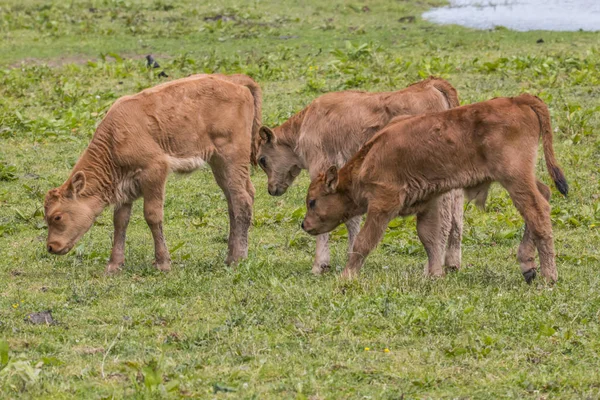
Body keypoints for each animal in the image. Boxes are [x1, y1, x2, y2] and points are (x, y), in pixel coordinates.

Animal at [45, 74, 262, 274]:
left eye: (57, 217)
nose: (51, 247)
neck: (115, 139)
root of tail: (232, 80)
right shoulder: (125, 186)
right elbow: (120, 221)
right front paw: (114, 265)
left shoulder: (155, 171)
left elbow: (152, 215)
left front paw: (162, 263)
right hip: (219, 164)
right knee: (236, 200)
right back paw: (231, 256)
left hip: (232, 157)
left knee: (242, 200)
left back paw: (237, 258)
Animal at [258, 76, 464, 274]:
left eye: (262, 159)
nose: (271, 189)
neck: (306, 124)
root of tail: (431, 84)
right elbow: (352, 218)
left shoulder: (321, 168)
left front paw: (320, 265)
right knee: (457, 216)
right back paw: (452, 263)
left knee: (444, 219)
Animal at [302, 93, 568, 284]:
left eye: (312, 201)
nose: (304, 224)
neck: (371, 157)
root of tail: (518, 100)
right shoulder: (428, 200)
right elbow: (428, 237)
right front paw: (434, 275)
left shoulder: (383, 204)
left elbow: (364, 241)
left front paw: (346, 276)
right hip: (522, 178)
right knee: (543, 195)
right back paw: (528, 267)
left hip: (514, 178)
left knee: (537, 210)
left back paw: (549, 276)